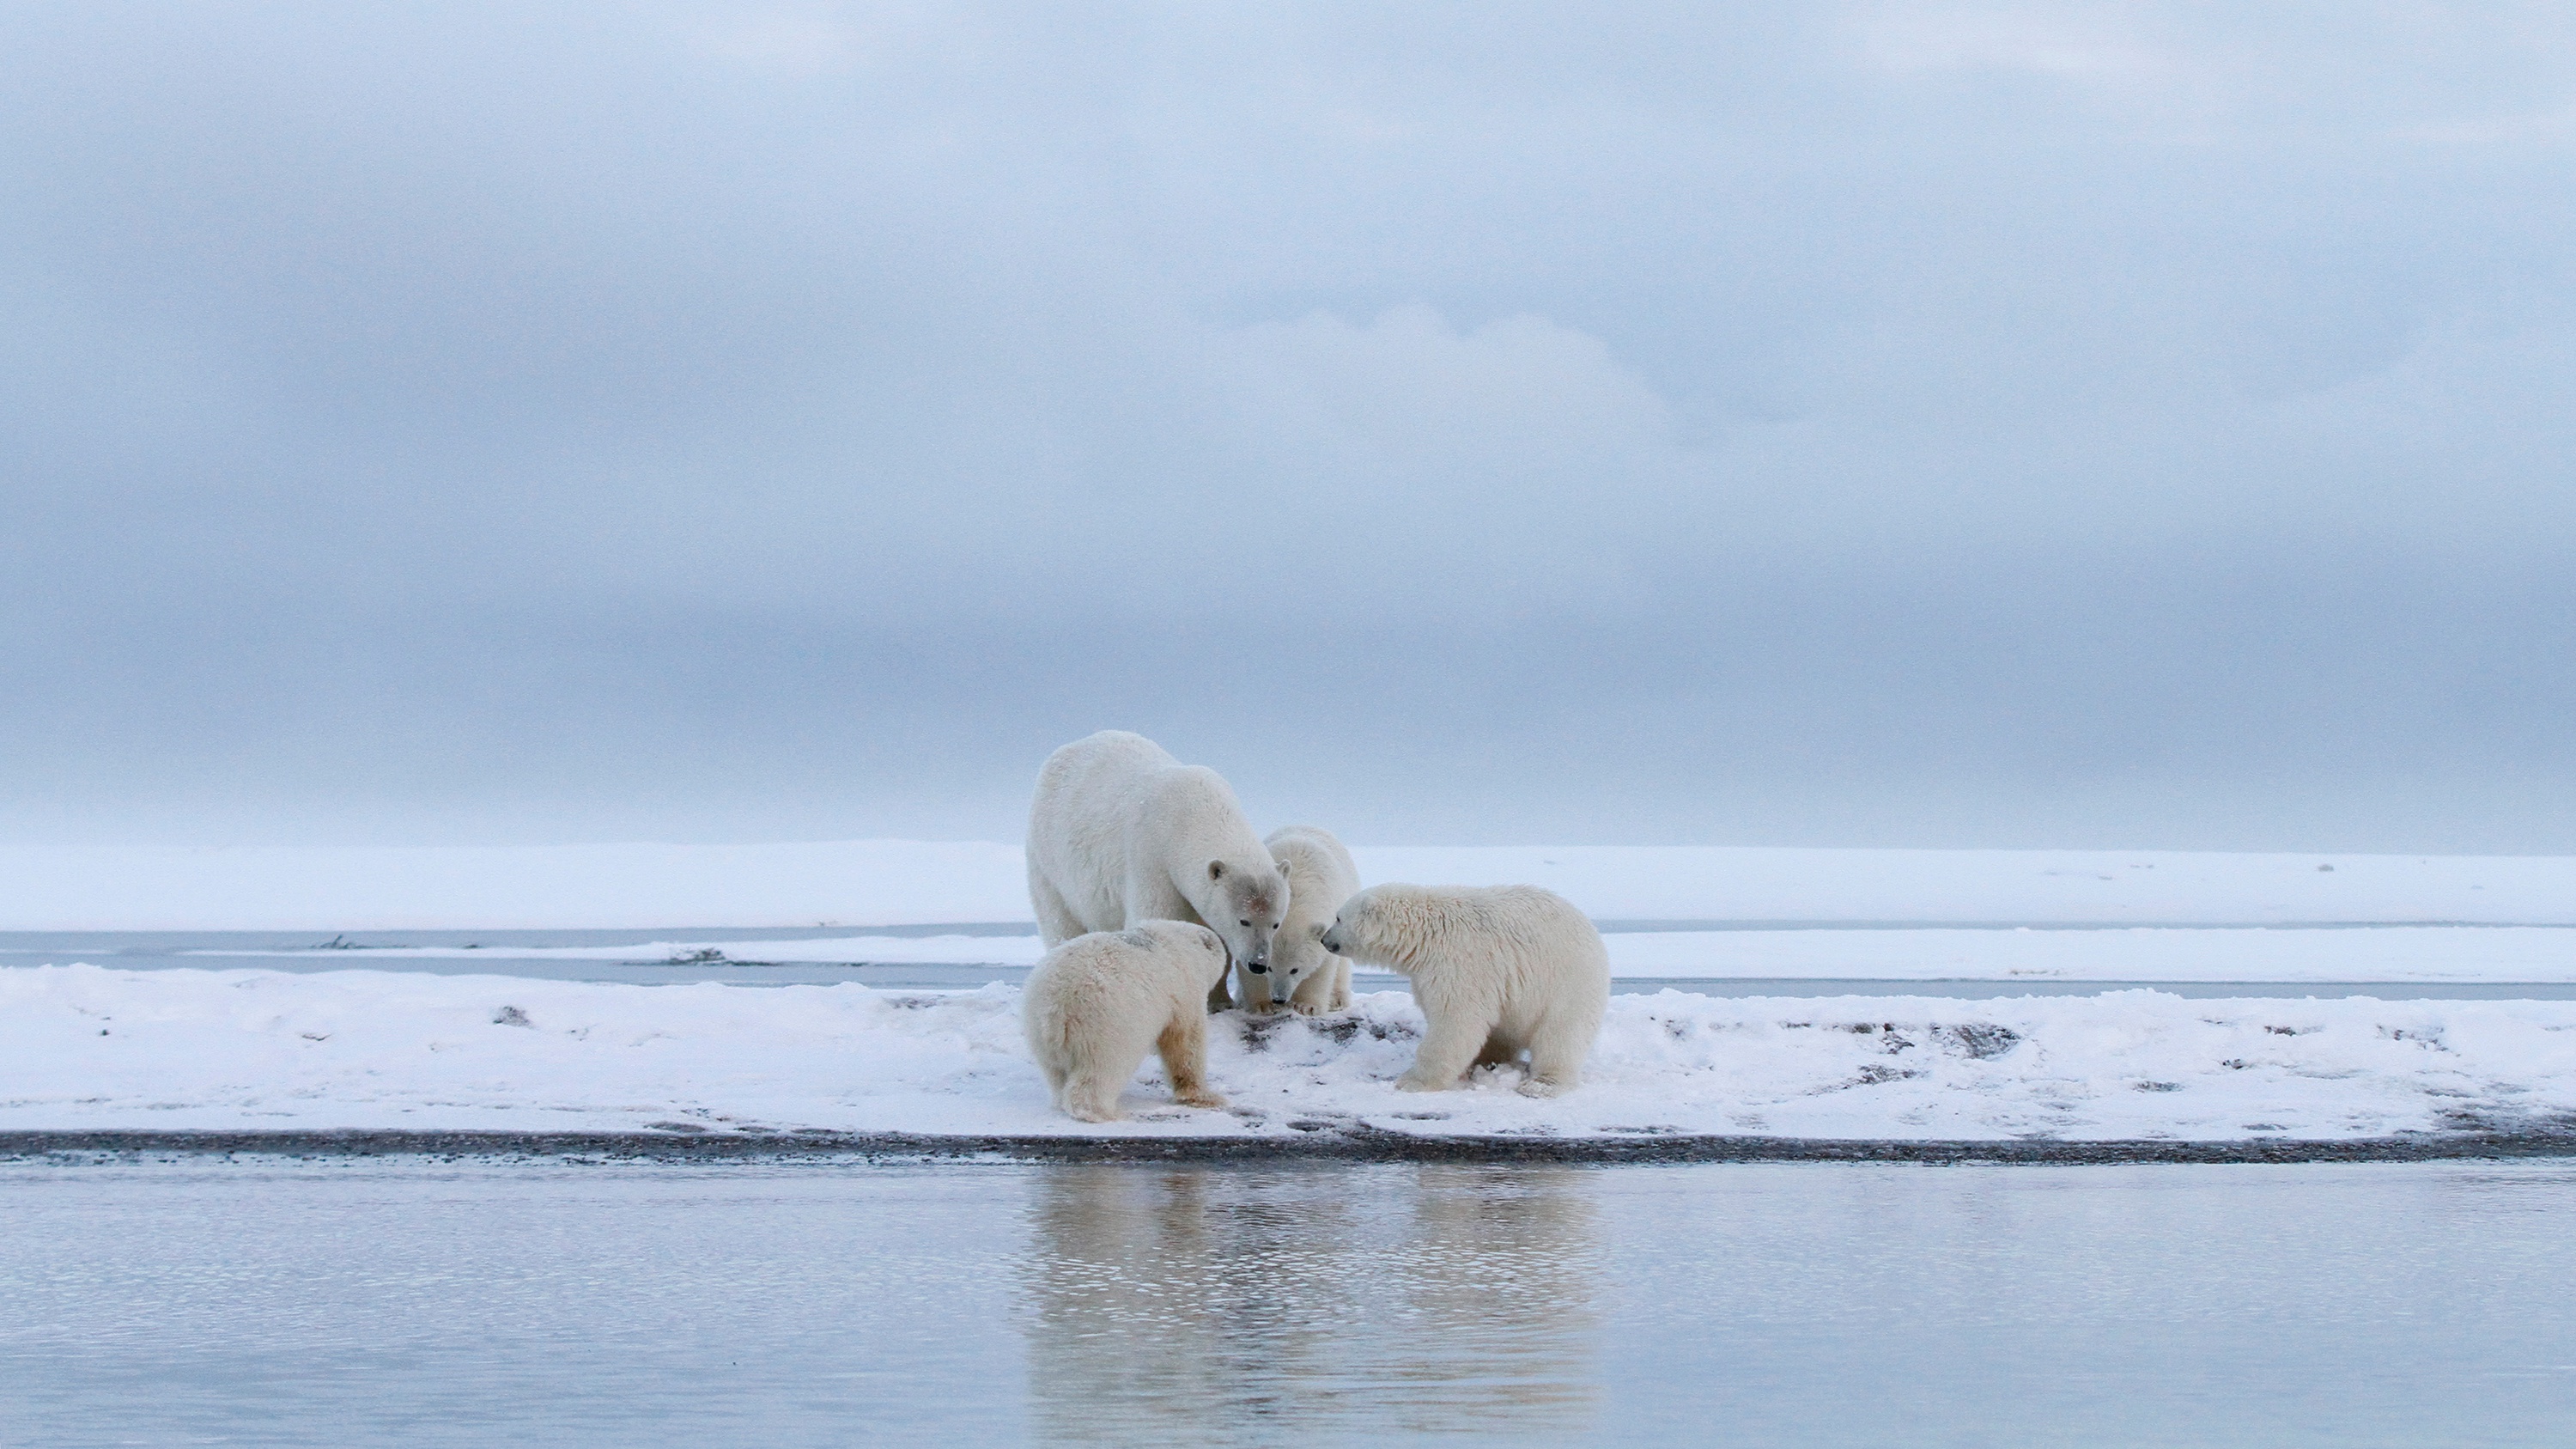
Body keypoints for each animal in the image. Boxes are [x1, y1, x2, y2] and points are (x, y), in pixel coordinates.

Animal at [1030, 732, 1298, 1005]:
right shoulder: (1153, 858)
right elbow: (1156, 918)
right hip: (1049, 864)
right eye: (1244, 921)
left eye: (1276, 923)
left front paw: (1220, 999)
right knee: (1060, 921)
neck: (1193, 814)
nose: (1258, 964)